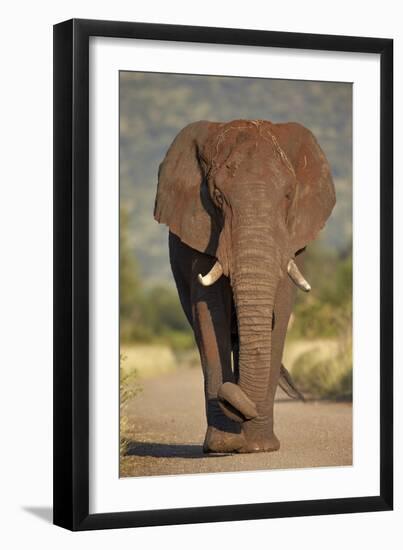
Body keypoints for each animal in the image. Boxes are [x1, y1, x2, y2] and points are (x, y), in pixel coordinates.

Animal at [153, 118, 336, 454]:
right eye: (217, 196)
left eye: (288, 195)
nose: (230, 395)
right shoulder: (203, 232)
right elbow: (209, 314)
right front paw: (223, 445)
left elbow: (280, 311)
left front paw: (261, 447)